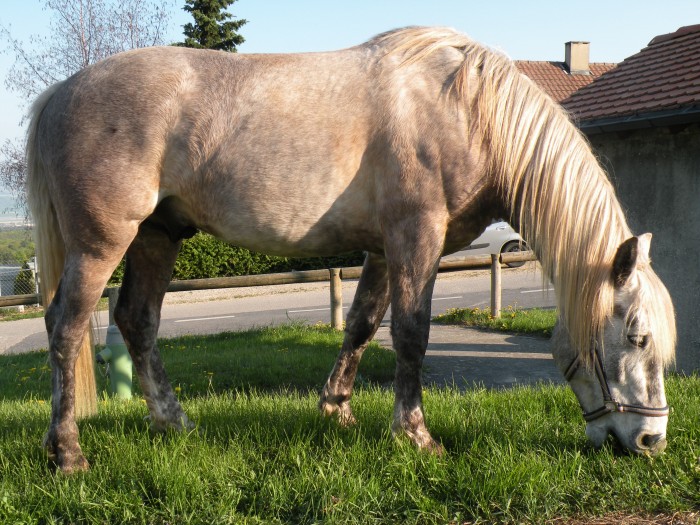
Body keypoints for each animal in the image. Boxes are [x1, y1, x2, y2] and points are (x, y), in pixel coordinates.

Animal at [24, 26, 676, 472]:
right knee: (67, 326)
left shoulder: (384, 250)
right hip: (101, 243)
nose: (651, 441)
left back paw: (174, 423)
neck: (467, 112)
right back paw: (67, 454)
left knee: (137, 320)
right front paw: (415, 435)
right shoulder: (417, 237)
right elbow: (411, 334)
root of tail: (60, 93)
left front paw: (337, 411)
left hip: (157, 237)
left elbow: (361, 325)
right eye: (637, 338)